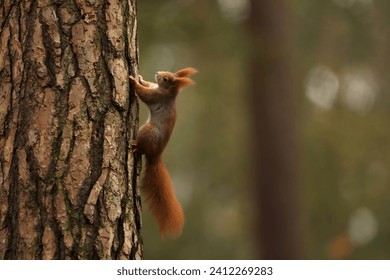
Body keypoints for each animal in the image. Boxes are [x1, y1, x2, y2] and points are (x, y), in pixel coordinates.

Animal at [129, 66, 198, 237]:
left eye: (166, 79)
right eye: (166, 73)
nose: (158, 73)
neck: (167, 91)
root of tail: (156, 155)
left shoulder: (157, 96)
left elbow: (144, 94)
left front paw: (133, 81)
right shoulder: (155, 88)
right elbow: (149, 85)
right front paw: (141, 78)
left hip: (147, 132)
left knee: (141, 148)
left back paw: (135, 145)